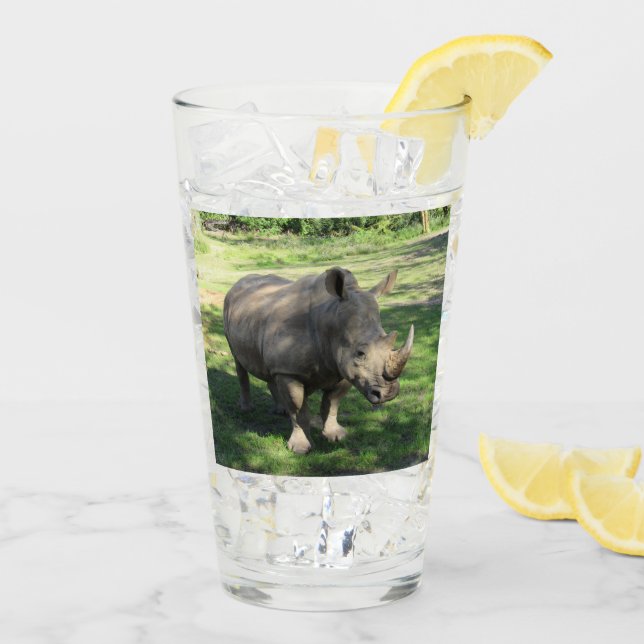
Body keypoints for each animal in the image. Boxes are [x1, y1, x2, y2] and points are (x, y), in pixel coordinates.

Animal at [223, 267, 414, 454]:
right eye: (360, 353)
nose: (389, 393)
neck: (330, 320)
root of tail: (238, 283)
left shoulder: (342, 369)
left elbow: (332, 402)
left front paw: (336, 436)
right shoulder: (289, 371)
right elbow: (298, 408)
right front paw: (300, 448)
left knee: (269, 370)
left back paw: (280, 411)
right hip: (228, 309)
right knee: (239, 363)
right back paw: (247, 409)